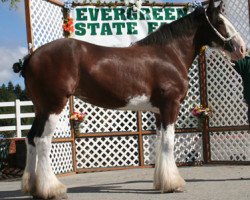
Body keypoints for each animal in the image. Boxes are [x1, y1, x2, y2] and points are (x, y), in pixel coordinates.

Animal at [12, 0, 245, 199]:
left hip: (40, 109)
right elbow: (169, 143)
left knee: (30, 139)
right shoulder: (170, 105)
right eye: (220, 22)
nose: (242, 48)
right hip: (53, 106)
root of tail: (31, 57)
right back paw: (52, 189)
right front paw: (174, 184)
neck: (168, 54)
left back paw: (32, 187)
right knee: (43, 141)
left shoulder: (159, 111)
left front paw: (161, 182)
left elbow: (160, 142)